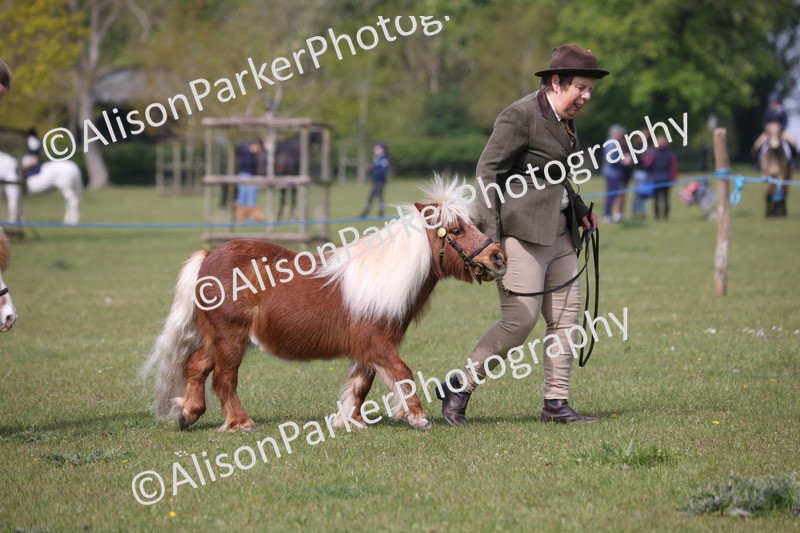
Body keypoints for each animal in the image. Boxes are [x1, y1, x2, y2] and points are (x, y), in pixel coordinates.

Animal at [142, 177, 507, 431]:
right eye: (456, 230)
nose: (498, 257)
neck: (382, 276)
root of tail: (208, 256)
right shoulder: (377, 343)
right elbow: (402, 374)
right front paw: (417, 418)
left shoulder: (367, 349)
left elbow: (361, 384)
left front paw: (349, 421)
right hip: (230, 338)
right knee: (223, 380)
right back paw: (241, 423)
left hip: (219, 338)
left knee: (196, 366)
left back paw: (188, 414)